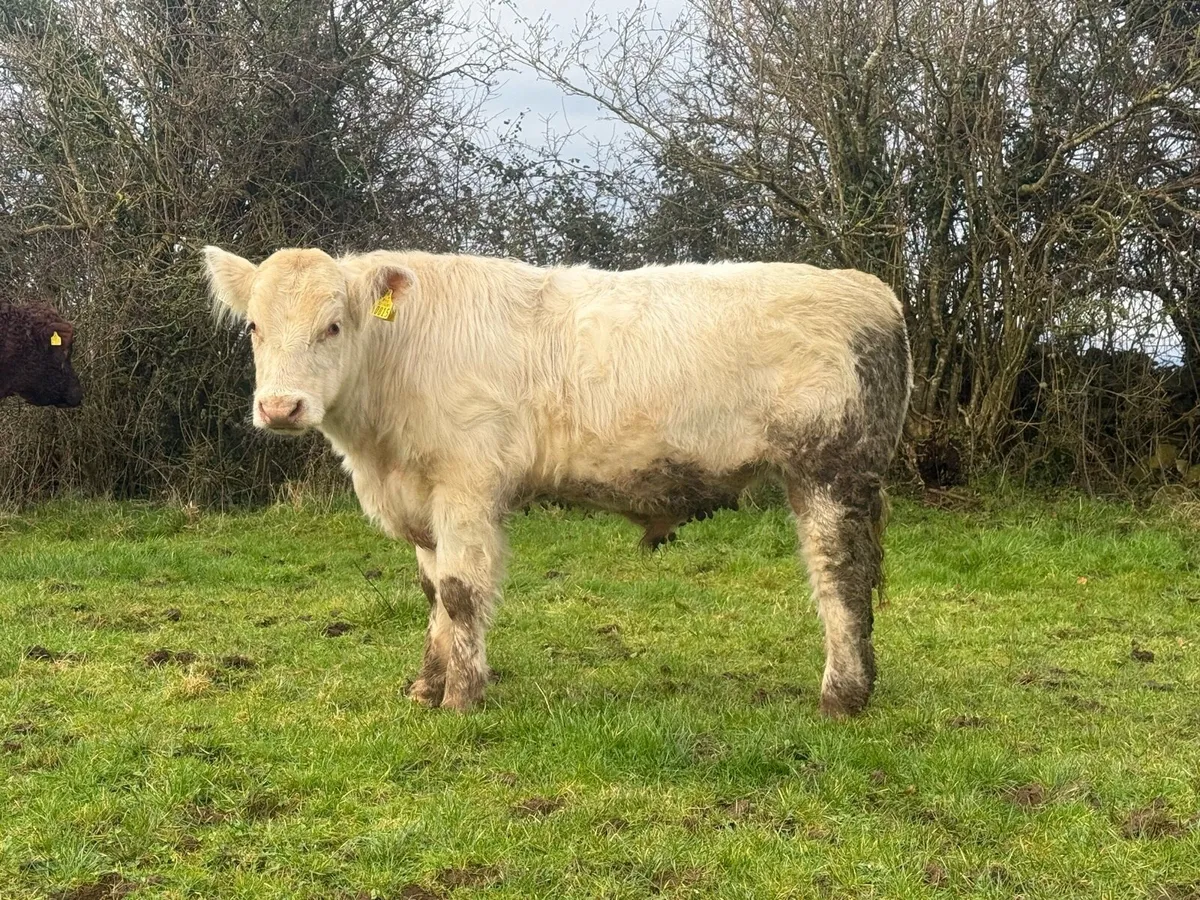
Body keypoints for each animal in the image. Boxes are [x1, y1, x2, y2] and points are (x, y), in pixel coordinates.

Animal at [203, 246, 911, 717]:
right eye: (254, 326)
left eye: (333, 325)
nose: (280, 407)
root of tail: (871, 290)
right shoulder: (424, 499)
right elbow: (433, 593)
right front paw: (427, 686)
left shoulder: (467, 484)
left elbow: (461, 592)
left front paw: (462, 698)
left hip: (829, 469)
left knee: (840, 578)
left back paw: (842, 696)